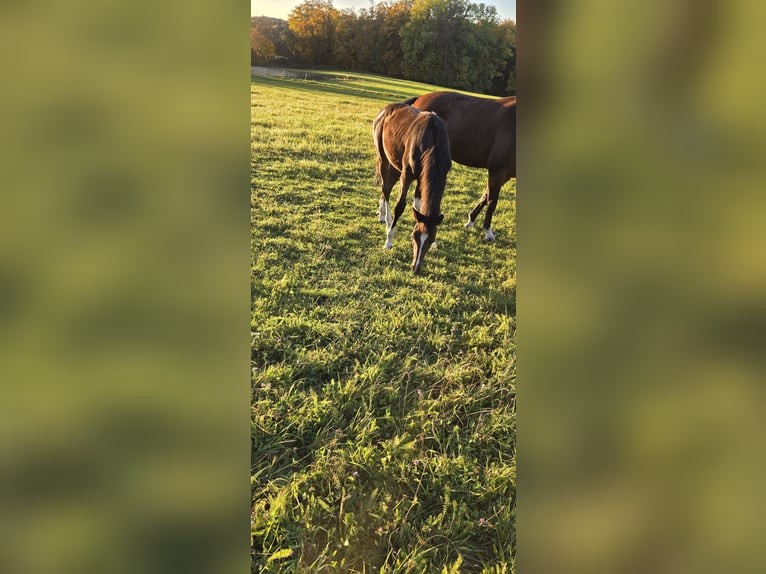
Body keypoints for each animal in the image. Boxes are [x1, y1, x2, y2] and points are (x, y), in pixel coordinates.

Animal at [372, 102, 451, 273]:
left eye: (430, 239)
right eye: (414, 236)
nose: (415, 267)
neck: (432, 142)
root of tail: (385, 110)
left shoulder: (424, 178)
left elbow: (419, 204)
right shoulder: (407, 175)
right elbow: (400, 206)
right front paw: (389, 240)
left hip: (395, 165)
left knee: (386, 188)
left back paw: (382, 215)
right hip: (384, 160)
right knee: (385, 190)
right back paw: (387, 222)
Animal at [405, 92, 516, 241]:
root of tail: (420, 98)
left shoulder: (504, 175)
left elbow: (485, 197)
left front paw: (470, 221)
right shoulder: (497, 171)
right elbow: (491, 202)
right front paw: (488, 231)